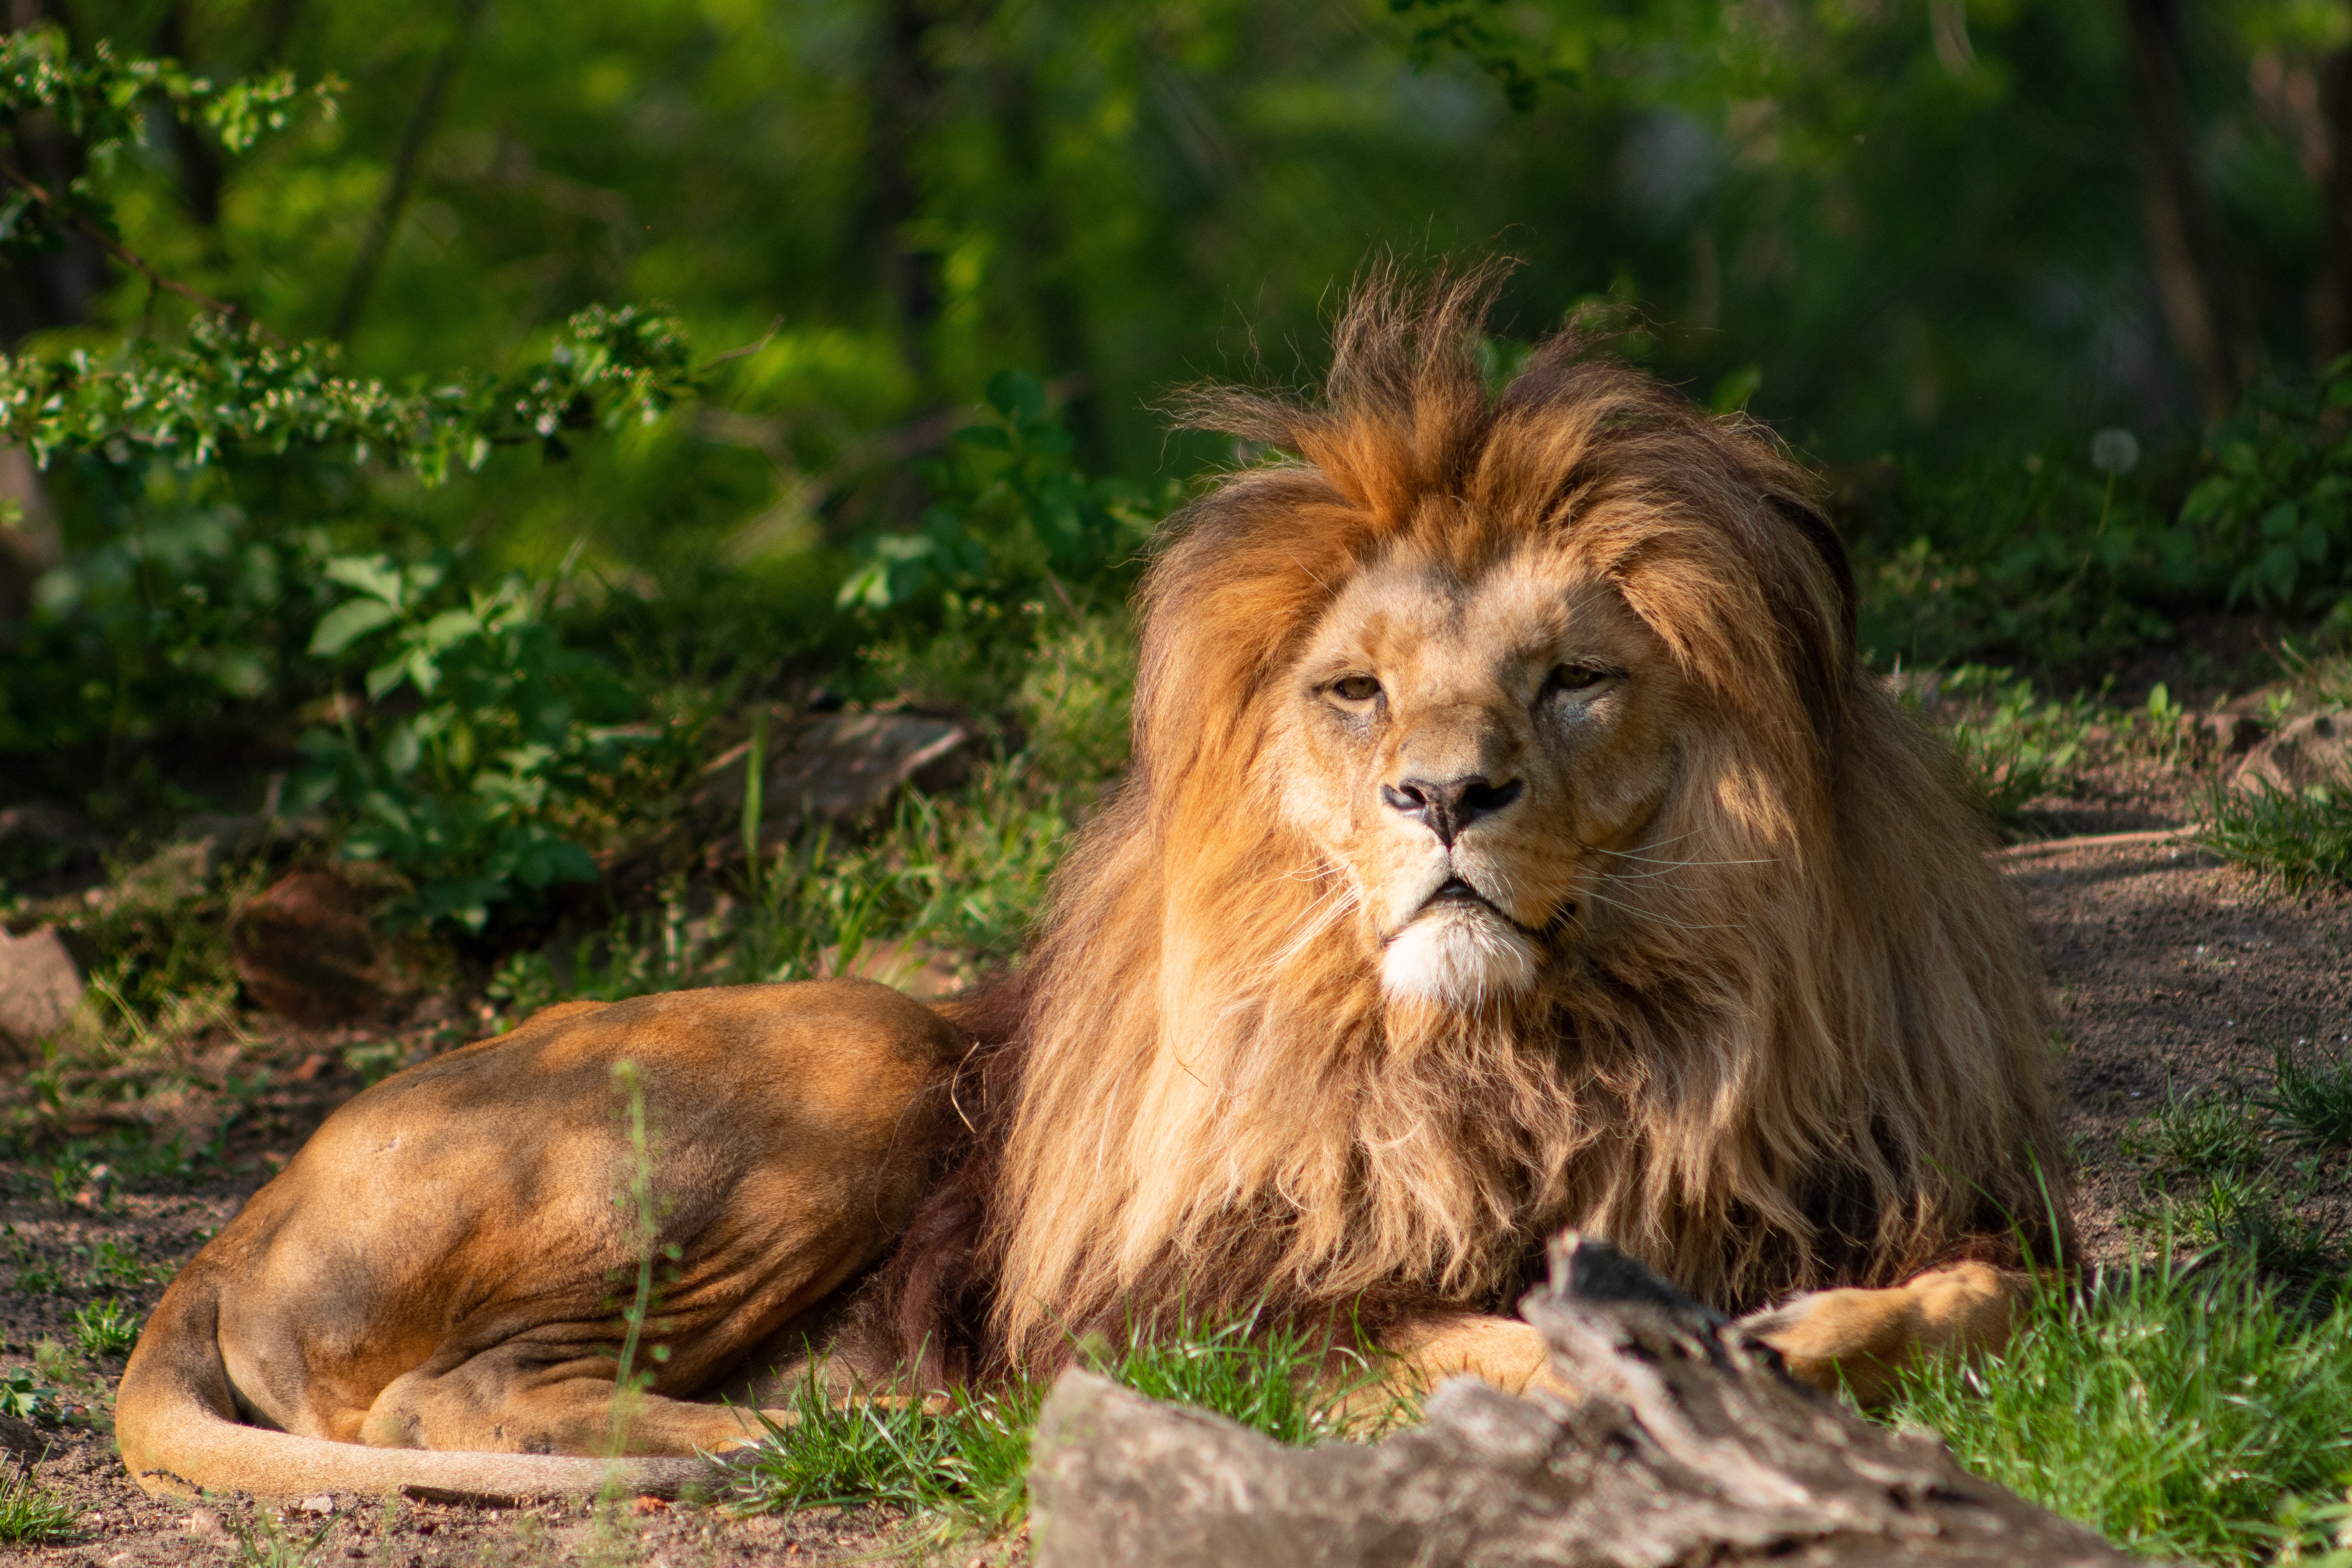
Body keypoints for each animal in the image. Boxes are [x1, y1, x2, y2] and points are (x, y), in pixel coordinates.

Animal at [114, 272, 2060, 1504]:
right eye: (1356, 692)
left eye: (1573, 678)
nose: (1444, 794)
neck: (1549, 1049)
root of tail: (236, 1220)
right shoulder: (1207, 1319)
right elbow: (1492, 1338)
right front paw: (1684, 1359)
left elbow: (1990, 1295)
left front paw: (1797, 1334)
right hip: (862, 1049)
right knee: (442, 1396)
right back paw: (816, 1442)